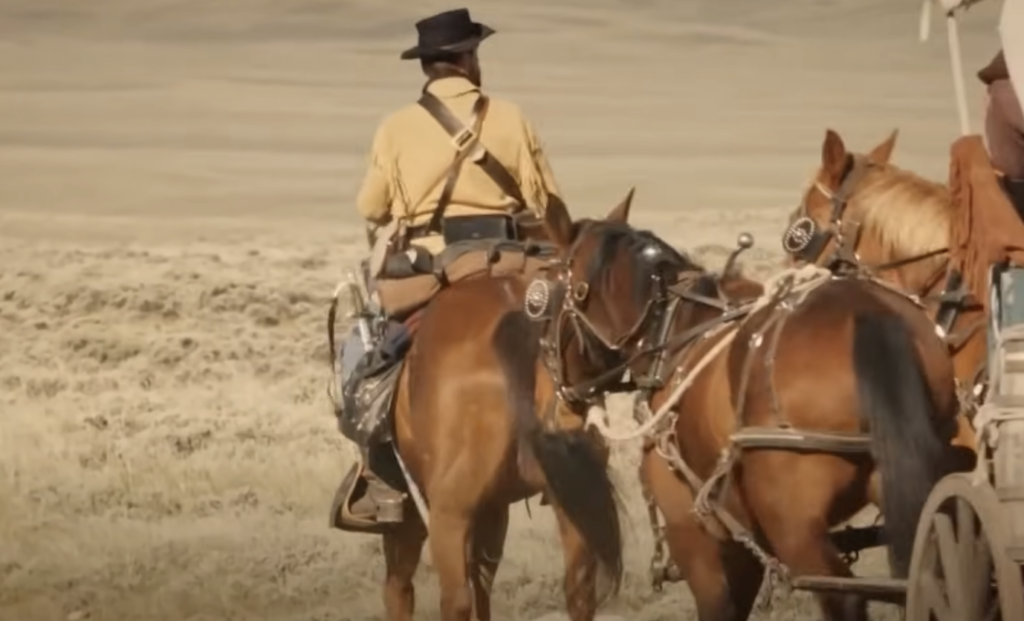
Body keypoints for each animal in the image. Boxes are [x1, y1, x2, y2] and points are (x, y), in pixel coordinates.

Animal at [327, 220, 622, 621]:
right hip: (571, 501)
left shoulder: (413, 517)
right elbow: (484, 585)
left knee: (449, 597)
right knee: (578, 590)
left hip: (449, 513)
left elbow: (402, 589)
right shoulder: (495, 508)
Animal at [516, 199, 970, 621]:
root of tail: (868, 316)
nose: (549, 385)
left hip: (795, 529)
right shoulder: (743, 542)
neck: (672, 331)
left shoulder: (697, 540)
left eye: (547, 295)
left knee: (846, 596)